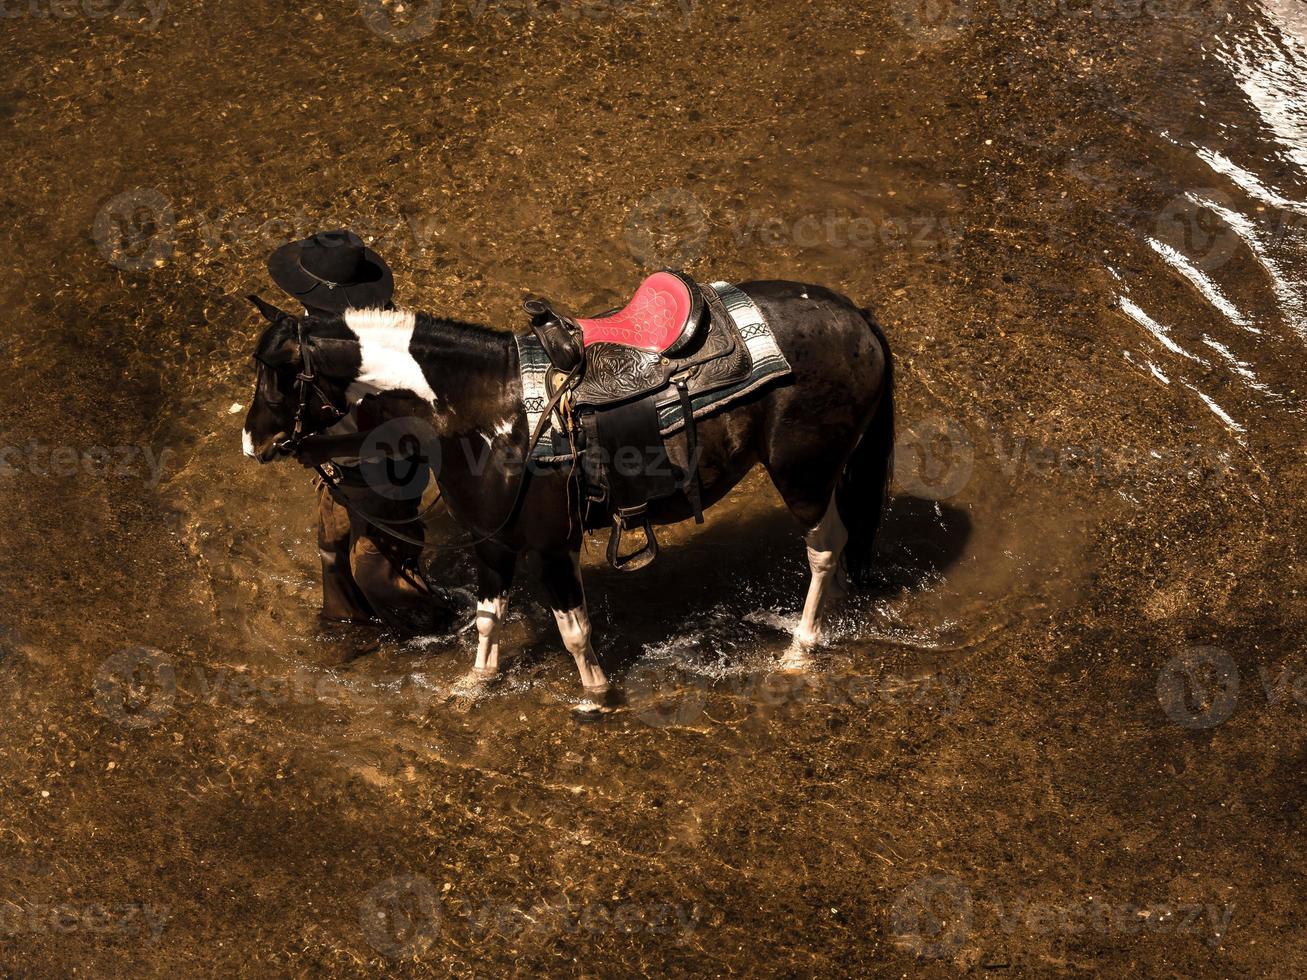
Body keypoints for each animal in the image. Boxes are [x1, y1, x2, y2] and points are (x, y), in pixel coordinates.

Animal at [240, 282, 893, 705]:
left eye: (280, 374)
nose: (252, 440)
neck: (485, 409)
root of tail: (857, 317)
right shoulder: (493, 543)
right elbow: (488, 620)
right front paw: (474, 685)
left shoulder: (552, 546)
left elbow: (573, 630)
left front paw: (596, 696)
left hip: (803, 475)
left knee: (824, 548)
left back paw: (800, 648)